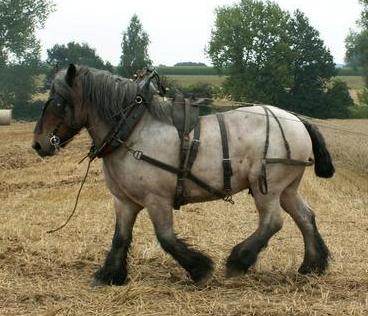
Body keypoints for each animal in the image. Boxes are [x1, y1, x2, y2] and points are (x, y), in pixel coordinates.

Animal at [33, 65, 334, 286]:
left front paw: (200, 269)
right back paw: (312, 265)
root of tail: (298, 120)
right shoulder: (124, 201)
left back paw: (238, 261)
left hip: (266, 187)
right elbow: (120, 237)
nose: (38, 143)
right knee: (305, 217)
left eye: (58, 102)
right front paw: (109, 275)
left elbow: (165, 237)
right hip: (287, 187)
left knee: (272, 222)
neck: (132, 129)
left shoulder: (157, 199)